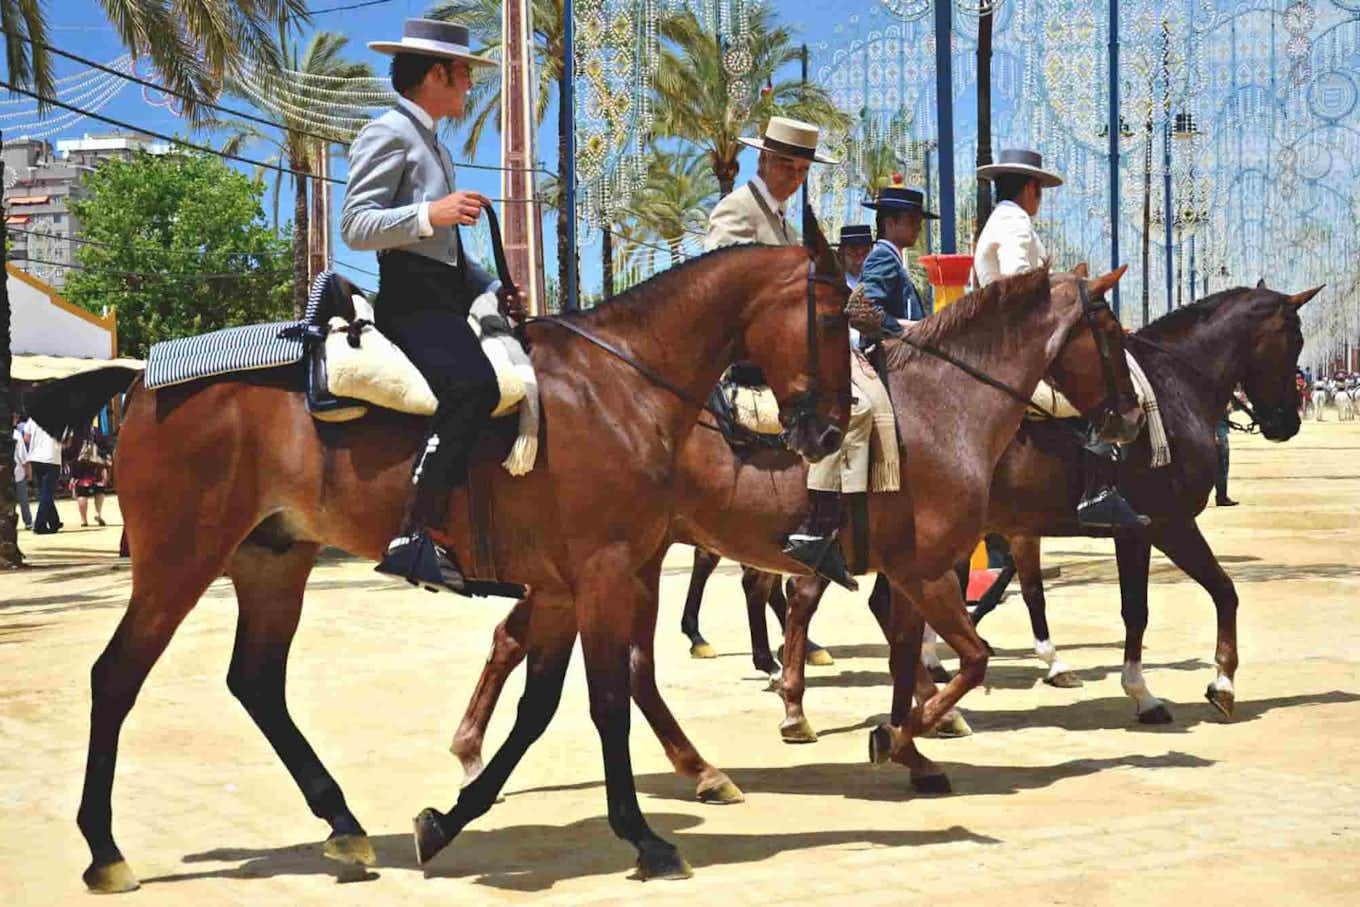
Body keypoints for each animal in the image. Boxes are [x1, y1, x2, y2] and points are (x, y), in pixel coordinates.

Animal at [29, 237, 848, 892]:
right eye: (838, 317)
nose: (831, 432)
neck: (617, 386)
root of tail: (143, 379)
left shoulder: (562, 589)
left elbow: (537, 709)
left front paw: (447, 819)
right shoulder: (606, 574)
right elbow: (606, 702)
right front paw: (644, 837)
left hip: (273, 561)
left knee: (255, 681)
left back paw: (344, 825)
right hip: (180, 559)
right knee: (117, 677)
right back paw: (105, 851)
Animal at [451, 267, 1142, 794]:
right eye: (1111, 332)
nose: (1133, 417)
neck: (943, 407)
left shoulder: (908, 574)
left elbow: (905, 659)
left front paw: (911, 749)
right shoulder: (927, 573)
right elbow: (972, 661)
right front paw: (895, 735)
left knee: (541, 644)